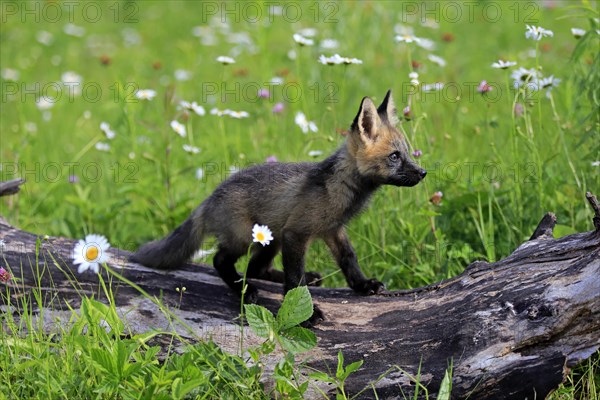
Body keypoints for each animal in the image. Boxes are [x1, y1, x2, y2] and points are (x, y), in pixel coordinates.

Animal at [132, 89, 426, 324]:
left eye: (407, 153)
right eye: (395, 157)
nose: (423, 173)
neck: (339, 190)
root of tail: (211, 197)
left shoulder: (333, 230)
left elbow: (348, 259)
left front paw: (363, 285)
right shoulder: (296, 233)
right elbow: (294, 280)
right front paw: (308, 314)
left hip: (270, 241)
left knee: (256, 269)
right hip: (247, 238)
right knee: (221, 261)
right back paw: (244, 288)